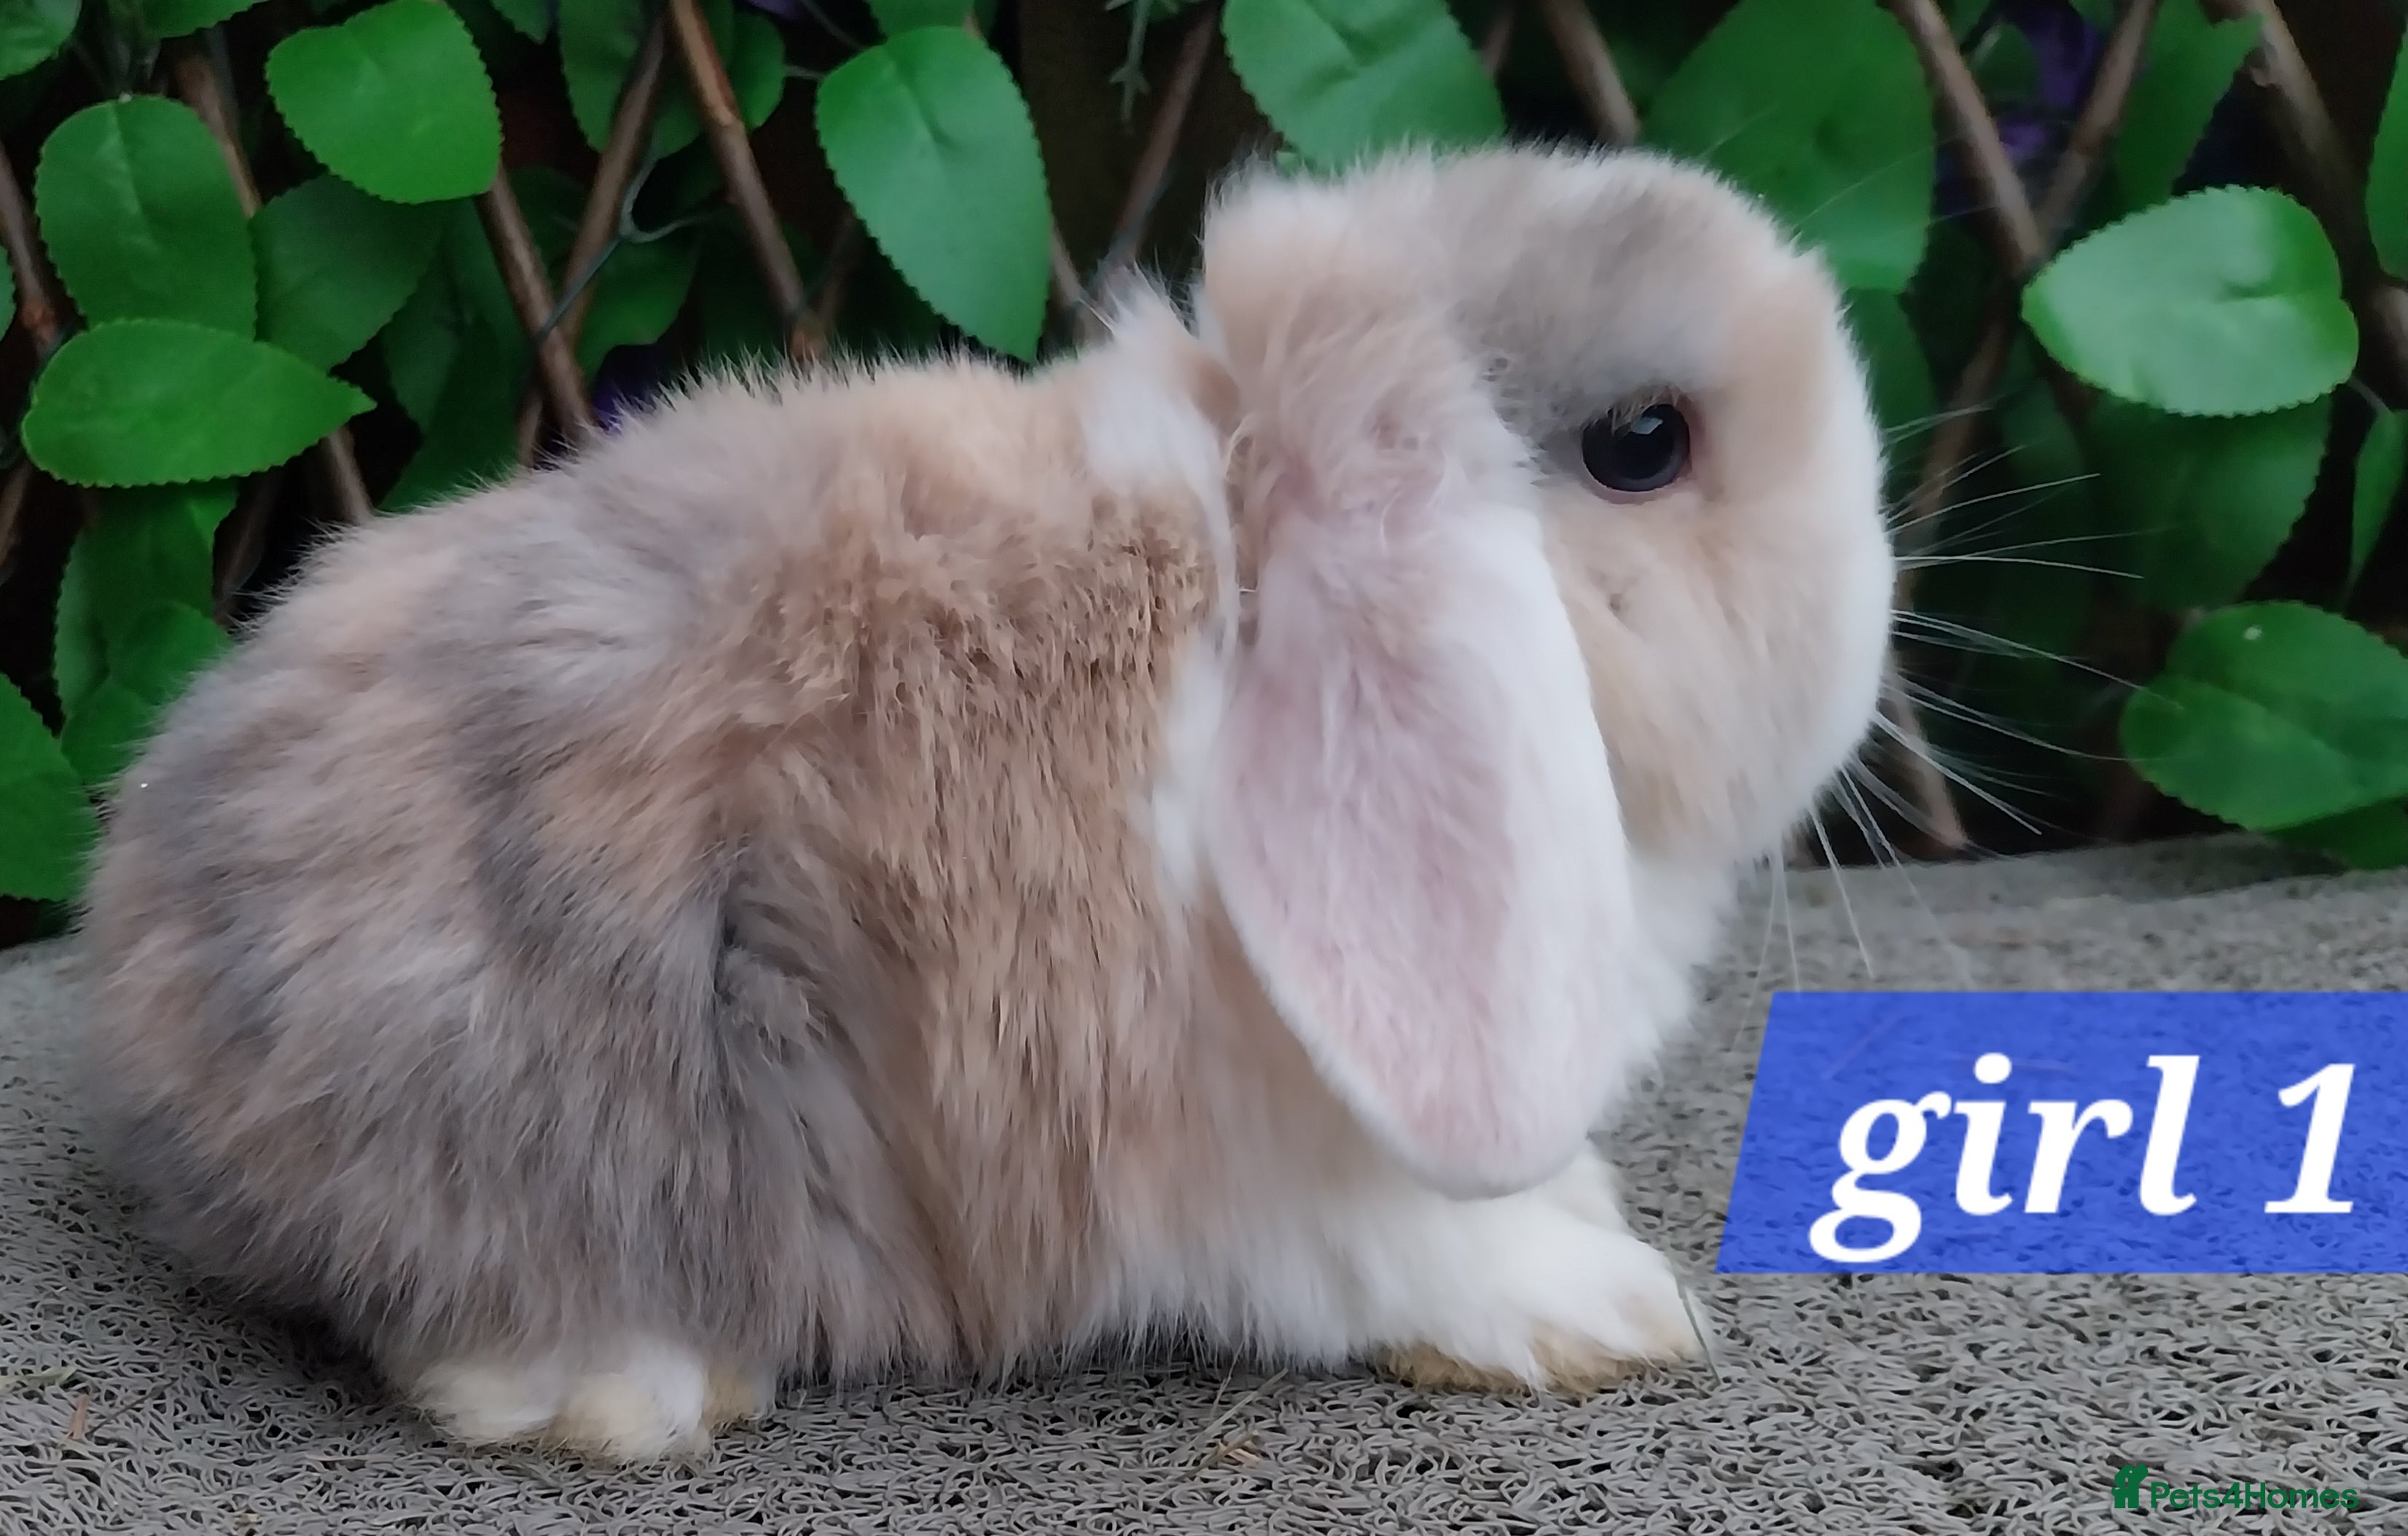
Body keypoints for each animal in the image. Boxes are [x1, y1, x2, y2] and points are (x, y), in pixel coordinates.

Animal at [77, 142, 1894, 1462]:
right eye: (1644, 442)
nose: (1876, 600)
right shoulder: (1254, 1161)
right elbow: (1396, 1254)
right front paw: (1600, 1307)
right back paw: (637, 1392)